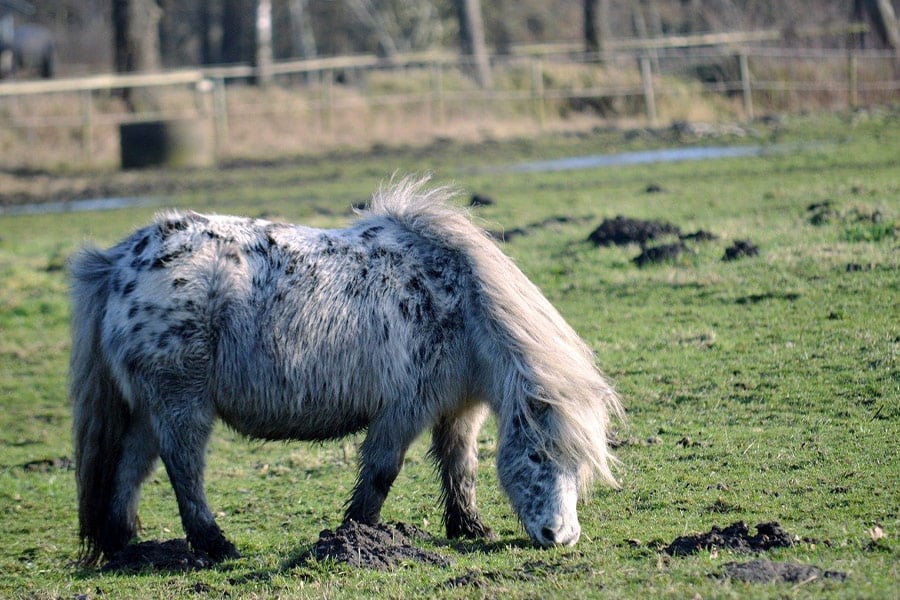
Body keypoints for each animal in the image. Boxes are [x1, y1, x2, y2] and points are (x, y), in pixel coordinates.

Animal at [69, 176, 623, 565]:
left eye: (578, 464)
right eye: (535, 454)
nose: (560, 537)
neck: (459, 302)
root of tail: (119, 262)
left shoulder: (460, 409)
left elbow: (460, 466)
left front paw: (470, 528)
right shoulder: (403, 410)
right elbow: (381, 472)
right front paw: (357, 536)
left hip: (145, 406)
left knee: (131, 466)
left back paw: (124, 546)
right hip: (180, 402)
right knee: (183, 468)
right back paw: (215, 545)